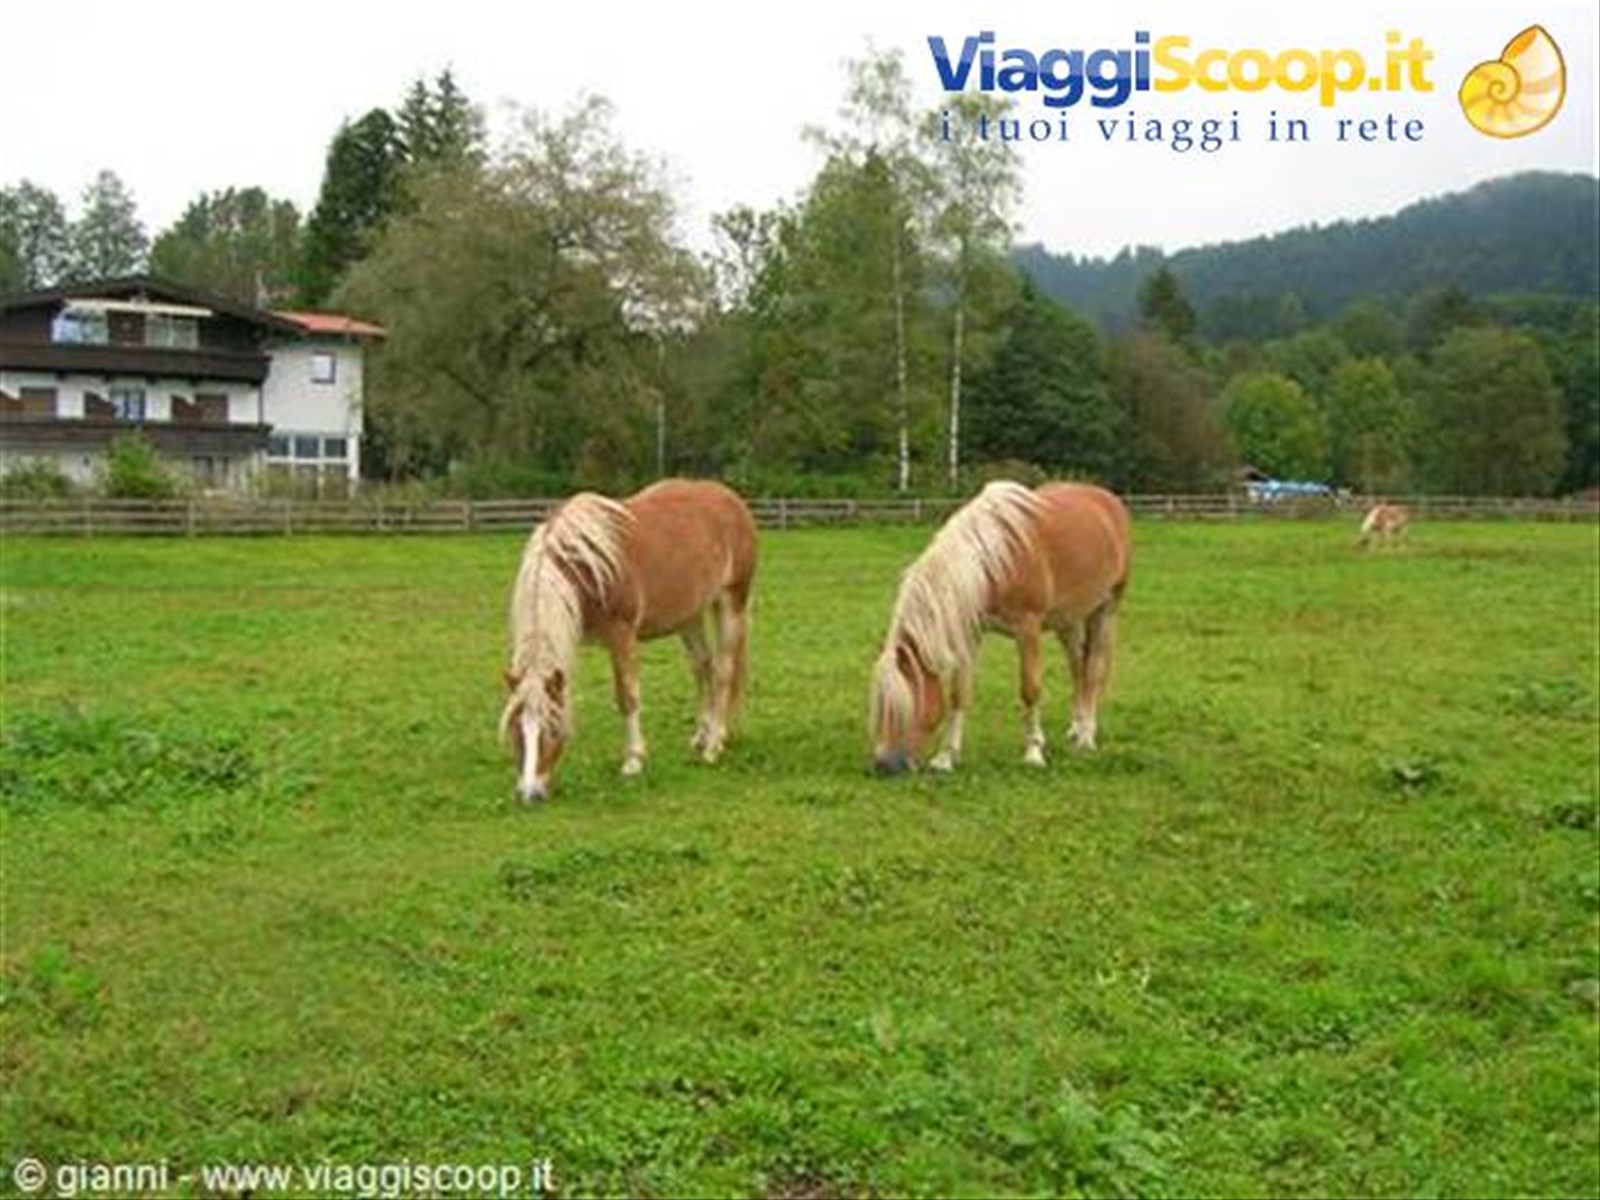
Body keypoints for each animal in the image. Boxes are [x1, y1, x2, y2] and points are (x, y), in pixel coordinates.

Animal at [501, 479, 758, 800]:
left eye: (552, 727)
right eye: (515, 729)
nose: (529, 793)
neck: (589, 567)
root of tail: (732, 499)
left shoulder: (621, 635)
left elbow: (627, 696)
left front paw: (633, 760)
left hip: (731, 601)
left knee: (723, 671)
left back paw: (713, 746)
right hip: (690, 616)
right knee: (703, 667)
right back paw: (704, 734)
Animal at [869, 480, 1132, 775]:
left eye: (901, 706)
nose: (884, 765)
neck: (993, 561)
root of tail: (1108, 499)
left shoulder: (1028, 629)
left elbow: (1030, 690)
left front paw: (1033, 753)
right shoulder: (970, 632)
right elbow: (958, 692)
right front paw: (945, 758)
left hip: (1105, 610)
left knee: (1094, 670)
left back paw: (1086, 737)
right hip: (1069, 621)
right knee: (1078, 668)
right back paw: (1076, 729)